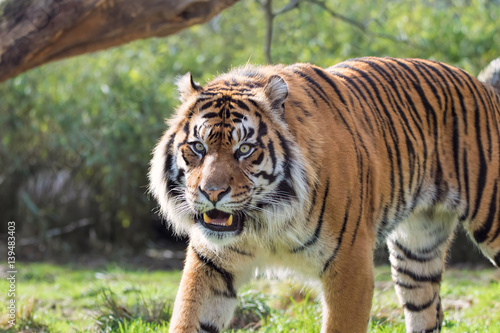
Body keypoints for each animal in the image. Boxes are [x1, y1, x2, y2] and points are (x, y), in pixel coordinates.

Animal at [148, 57, 500, 332]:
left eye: (244, 149)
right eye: (198, 147)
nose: (212, 192)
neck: (265, 222)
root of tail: (484, 88)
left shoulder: (350, 265)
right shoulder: (210, 263)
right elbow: (188, 318)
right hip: (416, 252)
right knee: (428, 311)